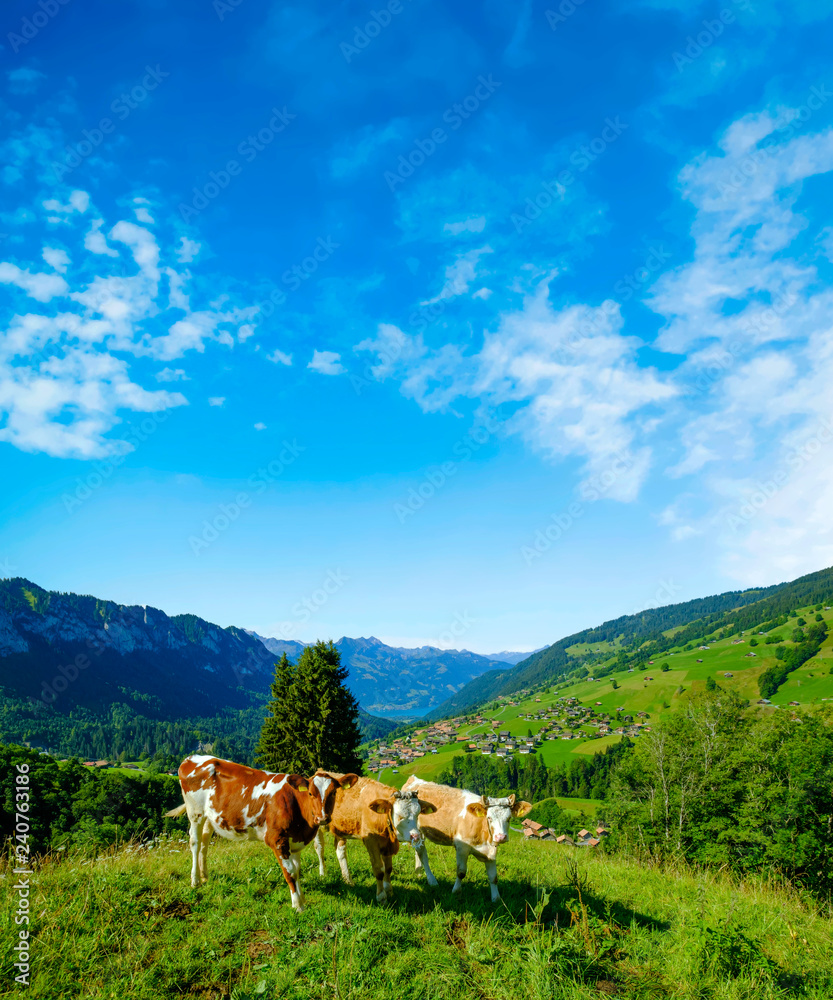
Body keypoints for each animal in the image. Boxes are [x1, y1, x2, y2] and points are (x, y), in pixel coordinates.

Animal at [164, 752, 356, 912]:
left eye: (333, 793)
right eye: (310, 793)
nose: (322, 818)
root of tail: (192, 758)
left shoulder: (295, 840)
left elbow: (297, 870)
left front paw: (301, 899)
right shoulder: (277, 839)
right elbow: (290, 873)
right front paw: (298, 906)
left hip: (210, 816)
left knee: (204, 843)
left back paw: (205, 876)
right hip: (194, 812)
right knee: (195, 843)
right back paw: (195, 880)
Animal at [308, 768, 432, 904]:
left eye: (418, 813)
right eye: (399, 816)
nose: (416, 836)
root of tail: (320, 771)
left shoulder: (387, 844)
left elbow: (388, 868)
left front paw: (389, 891)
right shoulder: (371, 841)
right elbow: (378, 869)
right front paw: (381, 897)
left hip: (341, 828)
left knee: (340, 850)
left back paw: (348, 879)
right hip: (318, 823)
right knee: (319, 848)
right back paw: (322, 873)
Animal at [400, 768, 528, 904]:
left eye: (509, 818)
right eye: (489, 818)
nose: (501, 837)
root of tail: (413, 779)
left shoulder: (490, 852)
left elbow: (493, 877)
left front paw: (496, 899)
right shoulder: (462, 847)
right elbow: (461, 872)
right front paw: (456, 891)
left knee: (418, 850)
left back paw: (418, 871)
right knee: (423, 854)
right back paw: (432, 880)